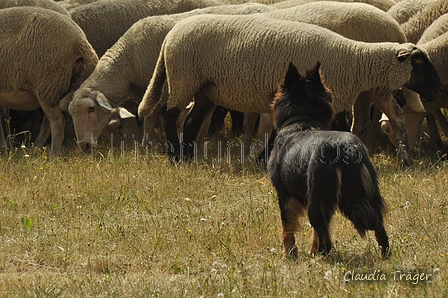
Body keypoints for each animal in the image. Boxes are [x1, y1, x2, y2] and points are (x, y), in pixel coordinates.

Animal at [0, 7, 98, 156]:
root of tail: (80, 41)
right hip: (56, 87)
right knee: (48, 123)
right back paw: (35, 148)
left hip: (47, 84)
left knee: (57, 121)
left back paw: (53, 154)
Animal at [136, 14, 438, 164]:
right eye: (420, 63)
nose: (439, 88)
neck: (352, 60)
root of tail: (170, 36)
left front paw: (263, 159)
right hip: (184, 77)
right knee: (169, 115)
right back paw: (175, 156)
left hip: (205, 88)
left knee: (191, 120)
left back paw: (188, 157)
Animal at [268, 62, 390, 258]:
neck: (301, 120)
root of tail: (346, 147)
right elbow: (316, 233)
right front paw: (311, 251)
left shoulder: (284, 195)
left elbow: (288, 230)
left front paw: (290, 255)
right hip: (367, 193)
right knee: (379, 229)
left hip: (317, 199)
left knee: (326, 239)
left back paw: (319, 257)